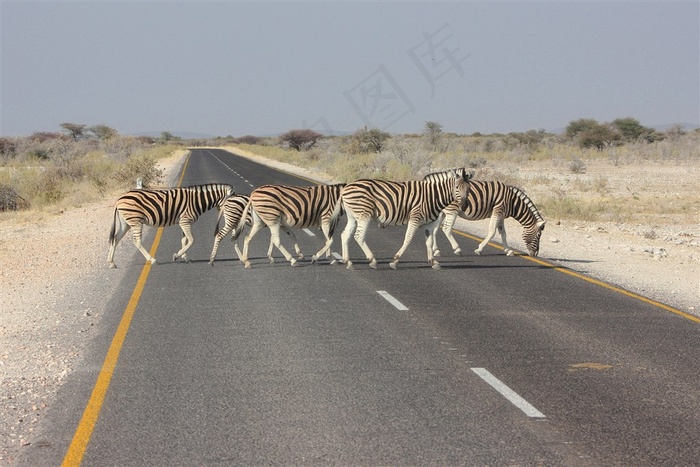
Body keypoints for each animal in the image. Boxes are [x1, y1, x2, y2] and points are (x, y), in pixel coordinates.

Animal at [338, 168, 474, 270]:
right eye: (456, 187)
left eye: (469, 188)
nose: (464, 206)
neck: (433, 196)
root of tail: (346, 187)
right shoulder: (415, 218)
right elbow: (408, 239)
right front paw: (395, 261)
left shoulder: (429, 223)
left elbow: (429, 242)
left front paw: (433, 262)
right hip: (364, 214)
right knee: (359, 236)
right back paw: (372, 260)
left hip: (353, 216)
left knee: (345, 235)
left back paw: (348, 262)